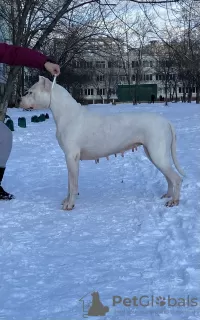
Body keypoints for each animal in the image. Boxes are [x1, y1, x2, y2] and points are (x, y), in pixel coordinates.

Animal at [20, 75, 184, 210]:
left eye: (30, 92)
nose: (18, 100)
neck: (67, 114)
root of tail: (166, 121)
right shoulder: (70, 158)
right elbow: (69, 183)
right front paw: (66, 201)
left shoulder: (71, 156)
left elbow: (73, 184)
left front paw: (70, 204)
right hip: (153, 154)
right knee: (169, 177)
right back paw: (168, 195)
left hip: (158, 154)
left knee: (176, 178)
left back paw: (174, 201)